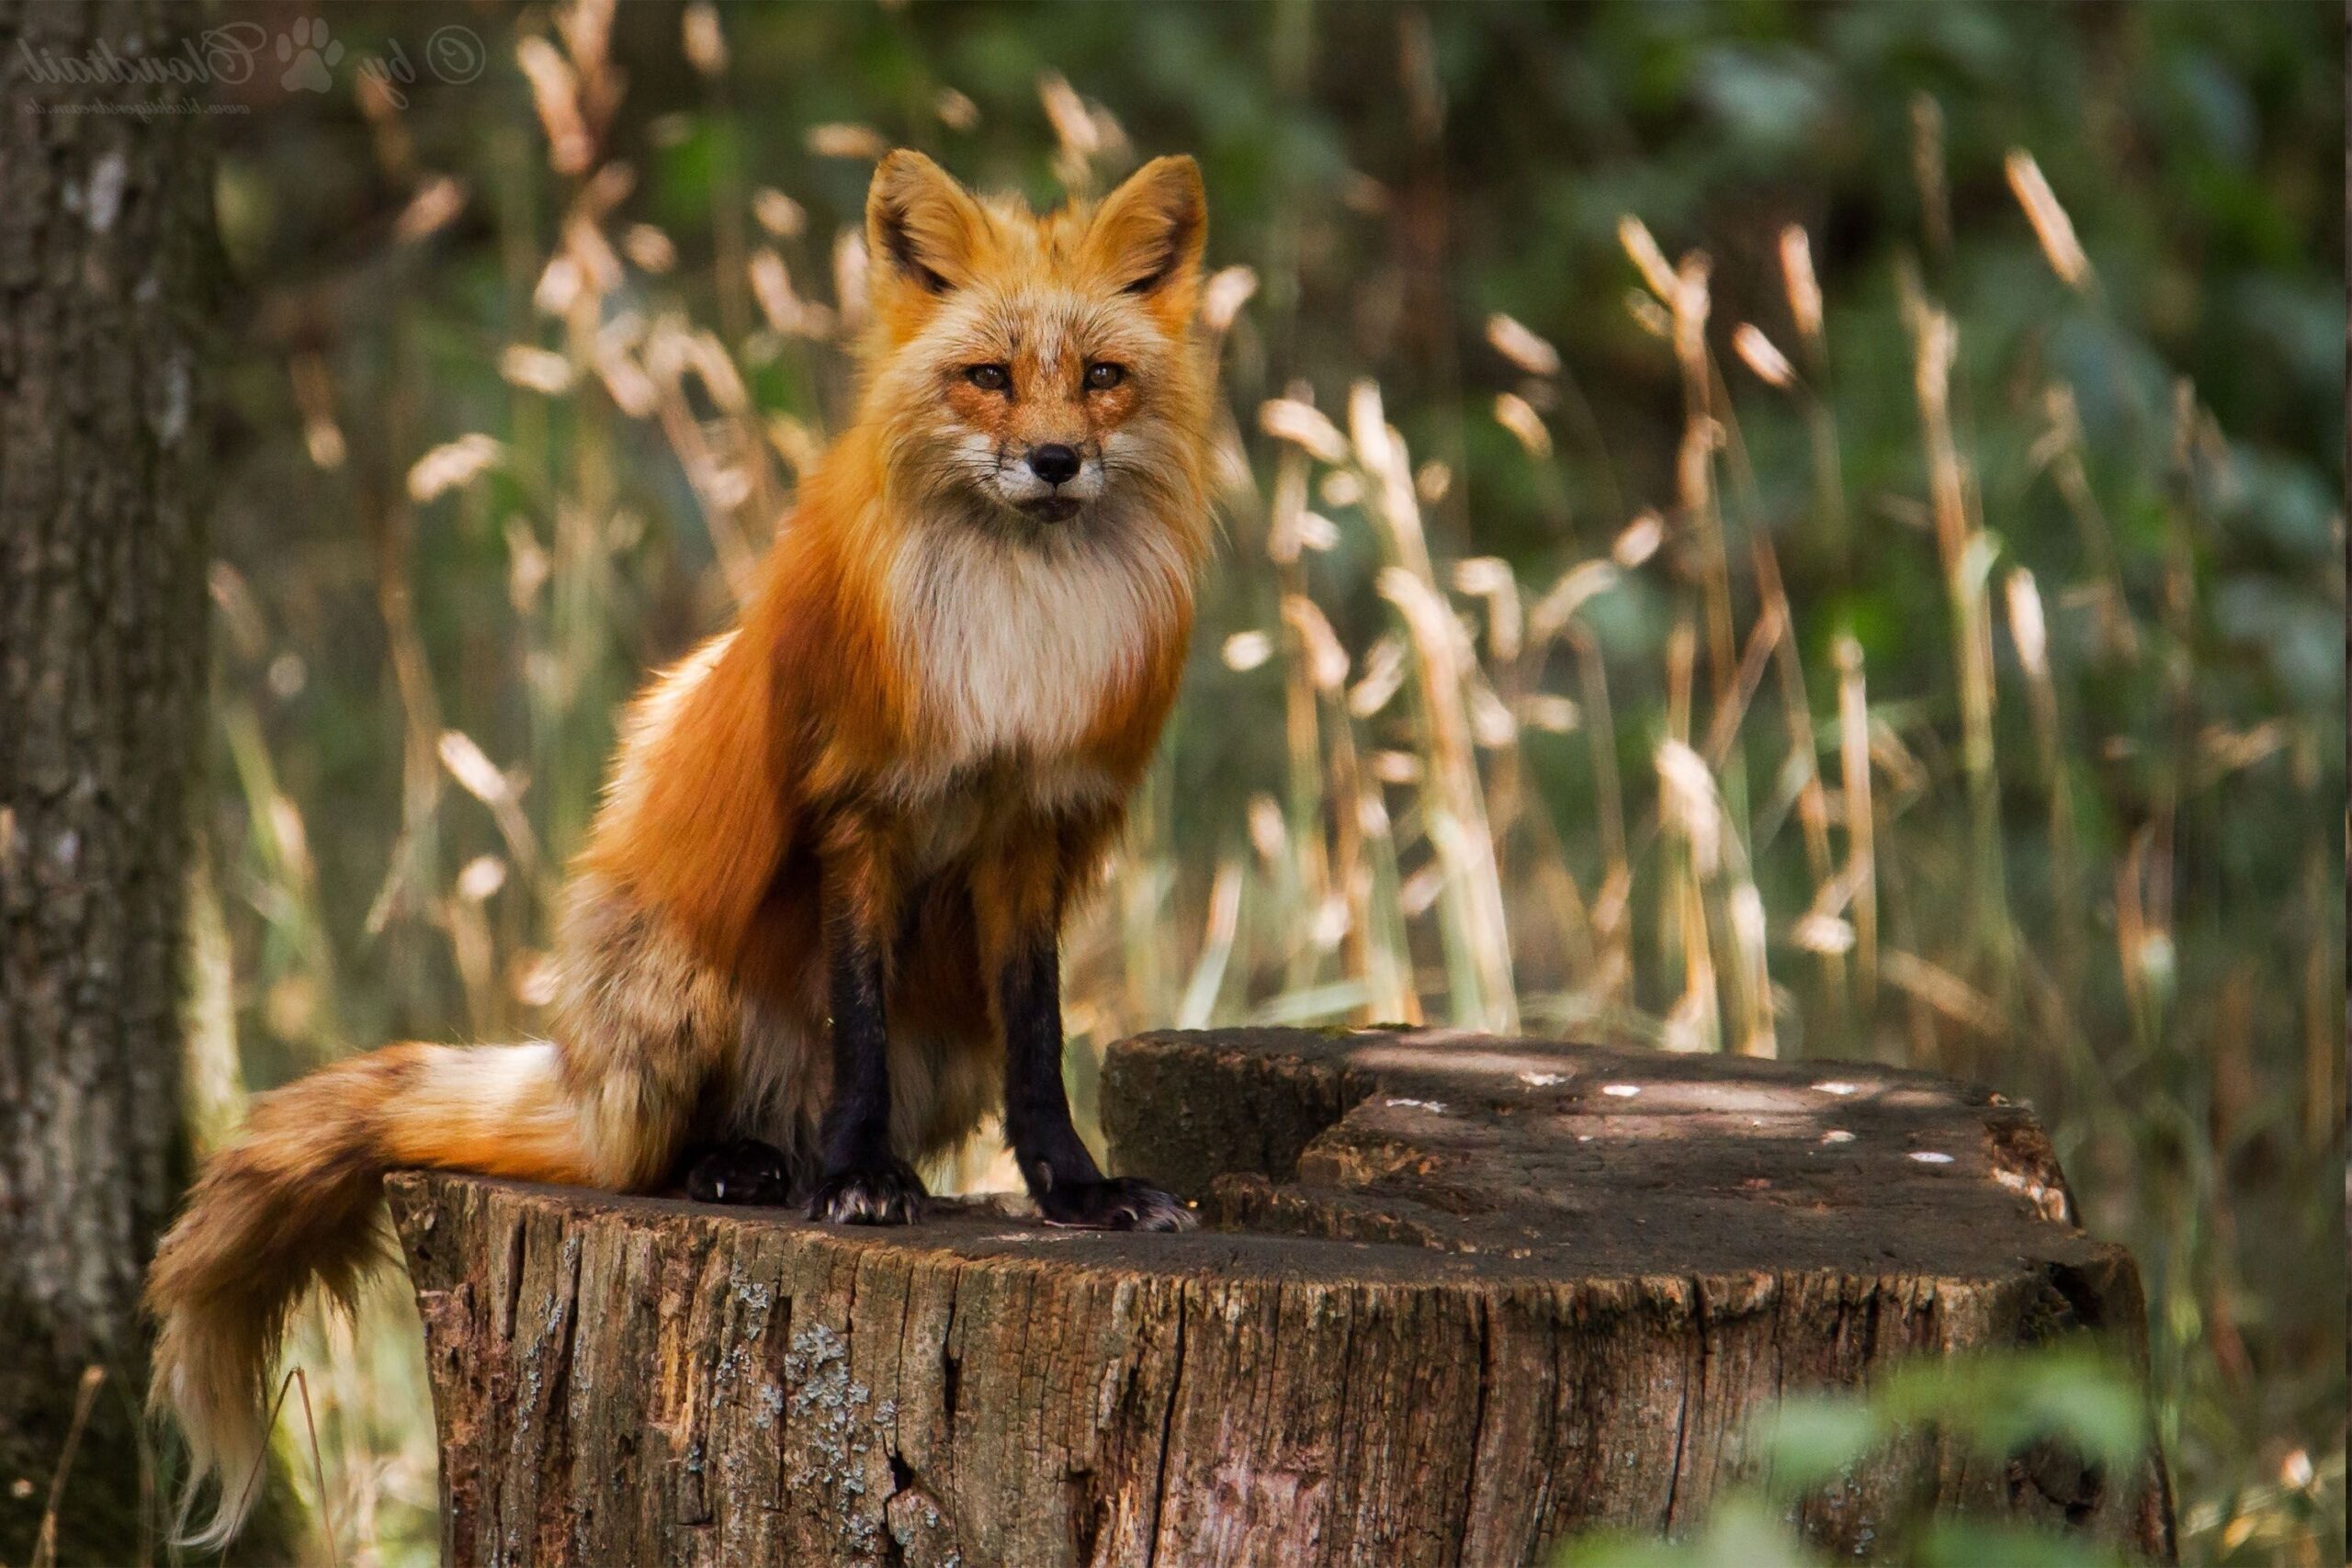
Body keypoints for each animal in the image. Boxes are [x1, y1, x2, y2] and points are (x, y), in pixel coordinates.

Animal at [145, 149, 1216, 1548]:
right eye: (986, 375)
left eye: (1100, 377)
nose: (1052, 461)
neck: (1014, 623)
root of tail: (575, 1064)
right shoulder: (858, 811)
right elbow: (856, 1028)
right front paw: (858, 1179)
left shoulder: (1029, 832)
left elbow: (1042, 1046)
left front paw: (1076, 1195)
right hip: (673, 992)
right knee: (645, 1158)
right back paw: (743, 1166)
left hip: (946, 1047)